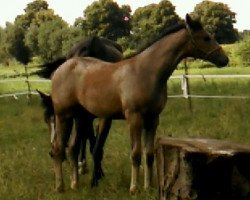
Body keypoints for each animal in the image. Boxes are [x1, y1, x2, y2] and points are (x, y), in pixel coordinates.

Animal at [37, 36, 123, 175]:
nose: (52, 149)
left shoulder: (102, 117)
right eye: (46, 120)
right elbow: (89, 140)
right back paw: (82, 164)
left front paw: (98, 172)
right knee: (84, 136)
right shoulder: (83, 117)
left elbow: (95, 145)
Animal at [48, 14, 229, 193]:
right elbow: (135, 154)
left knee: (72, 148)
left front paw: (148, 187)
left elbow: (149, 154)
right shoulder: (134, 118)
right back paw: (60, 186)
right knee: (57, 148)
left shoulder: (153, 119)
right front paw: (134, 188)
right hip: (63, 115)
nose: (225, 60)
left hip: (80, 117)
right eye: (206, 38)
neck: (146, 72)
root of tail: (61, 68)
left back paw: (75, 184)